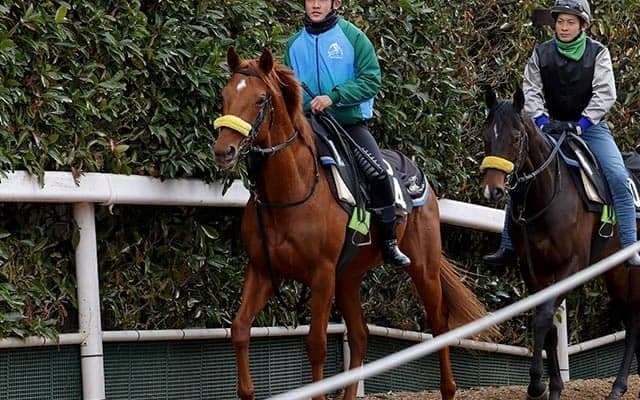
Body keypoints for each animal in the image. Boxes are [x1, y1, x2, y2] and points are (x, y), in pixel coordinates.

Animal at [212, 47, 492, 400]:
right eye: (224, 96)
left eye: (261, 99)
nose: (224, 150)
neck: (291, 192)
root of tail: (418, 175)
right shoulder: (262, 270)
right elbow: (239, 329)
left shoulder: (322, 275)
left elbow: (316, 344)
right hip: (348, 277)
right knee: (360, 335)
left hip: (423, 268)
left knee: (438, 324)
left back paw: (448, 389)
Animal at [480, 86, 640, 400]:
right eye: (486, 136)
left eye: (516, 137)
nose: (493, 189)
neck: (546, 195)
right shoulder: (534, 270)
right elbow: (550, 327)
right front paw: (552, 386)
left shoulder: (572, 266)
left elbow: (543, 318)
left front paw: (536, 384)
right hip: (615, 273)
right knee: (630, 319)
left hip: (630, 271)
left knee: (634, 320)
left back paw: (617, 387)